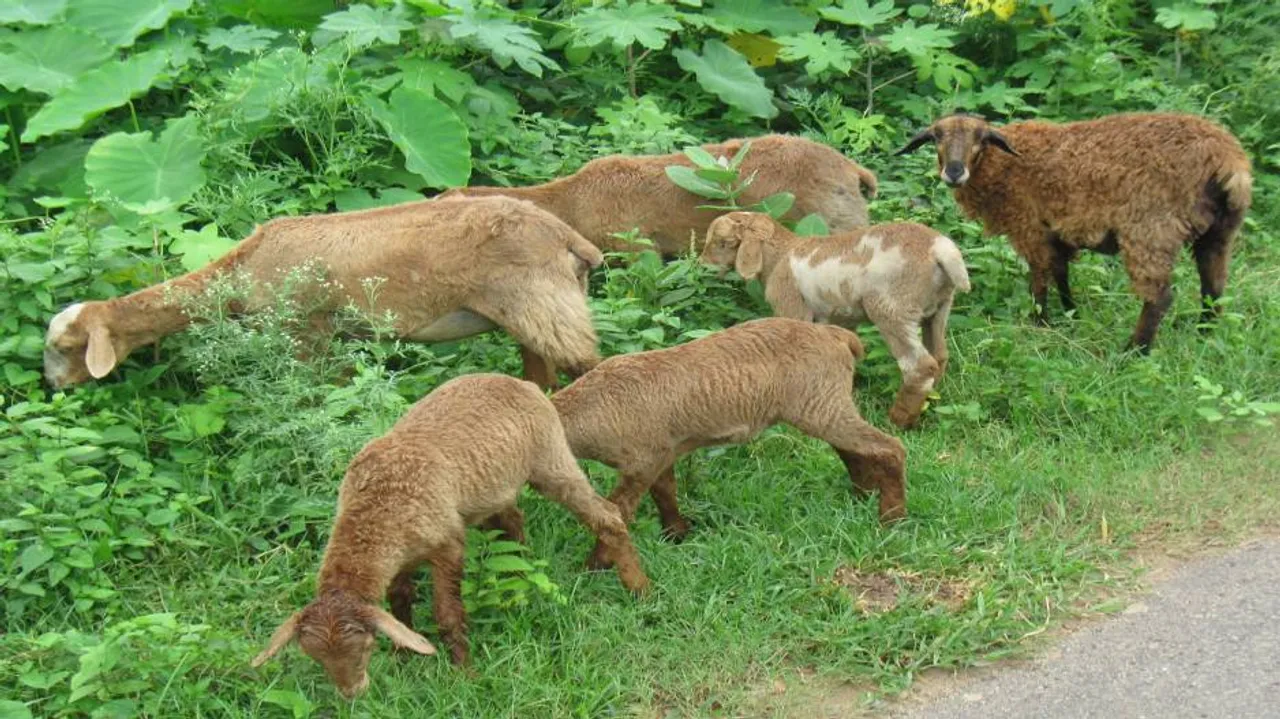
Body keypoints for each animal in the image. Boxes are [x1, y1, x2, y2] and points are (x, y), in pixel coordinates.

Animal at [43, 196, 605, 391]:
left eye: (66, 347)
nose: (53, 386)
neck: (243, 269)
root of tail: (571, 239)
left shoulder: (306, 334)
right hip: (533, 313)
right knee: (541, 378)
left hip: (546, 307)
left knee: (593, 367)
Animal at [250, 373, 650, 698]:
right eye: (315, 657)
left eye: (364, 648)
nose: (351, 693)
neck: (378, 506)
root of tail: (524, 384)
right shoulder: (401, 556)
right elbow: (399, 600)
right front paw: (405, 657)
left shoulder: (448, 546)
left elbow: (448, 615)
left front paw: (464, 674)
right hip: (496, 485)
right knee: (514, 520)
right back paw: (521, 571)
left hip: (551, 460)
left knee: (608, 516)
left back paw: (638, 587)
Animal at [550, 317, 907, 568]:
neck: (593, 406)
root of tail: (838, 336)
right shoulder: (663, 452)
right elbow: (665, 493)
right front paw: (677, 534)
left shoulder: (642, 460)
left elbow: (618, 510)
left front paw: (594, 566)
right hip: (825, 405)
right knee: (854, 451)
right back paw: (862, 497)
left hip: (821, 403)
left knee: (890, 448)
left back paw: (892, 517)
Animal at [699, 212, 971, 429]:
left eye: (722, 242)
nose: (701, 266)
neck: (779, 257)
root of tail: (939, 249)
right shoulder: (839, 320)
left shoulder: (793, 310)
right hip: (939, 309)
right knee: (939, 356)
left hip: (892, 309)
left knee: (919, 367)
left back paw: (898, 420)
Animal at [895, 111, 1253, 352]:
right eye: (936, 137)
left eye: (981, 139)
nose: (954, 172)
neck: (1004, 165)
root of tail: (1228, 161)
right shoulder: (1059, 234)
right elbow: (1061, 274)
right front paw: (1071, 314)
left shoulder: (1030, 228)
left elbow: (1039, 281)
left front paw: (1041, 323)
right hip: (1219, 233)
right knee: (1213, 288)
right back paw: (1205, 334)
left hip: (1151, 231)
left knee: (1159, 298)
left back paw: (1134, 351)